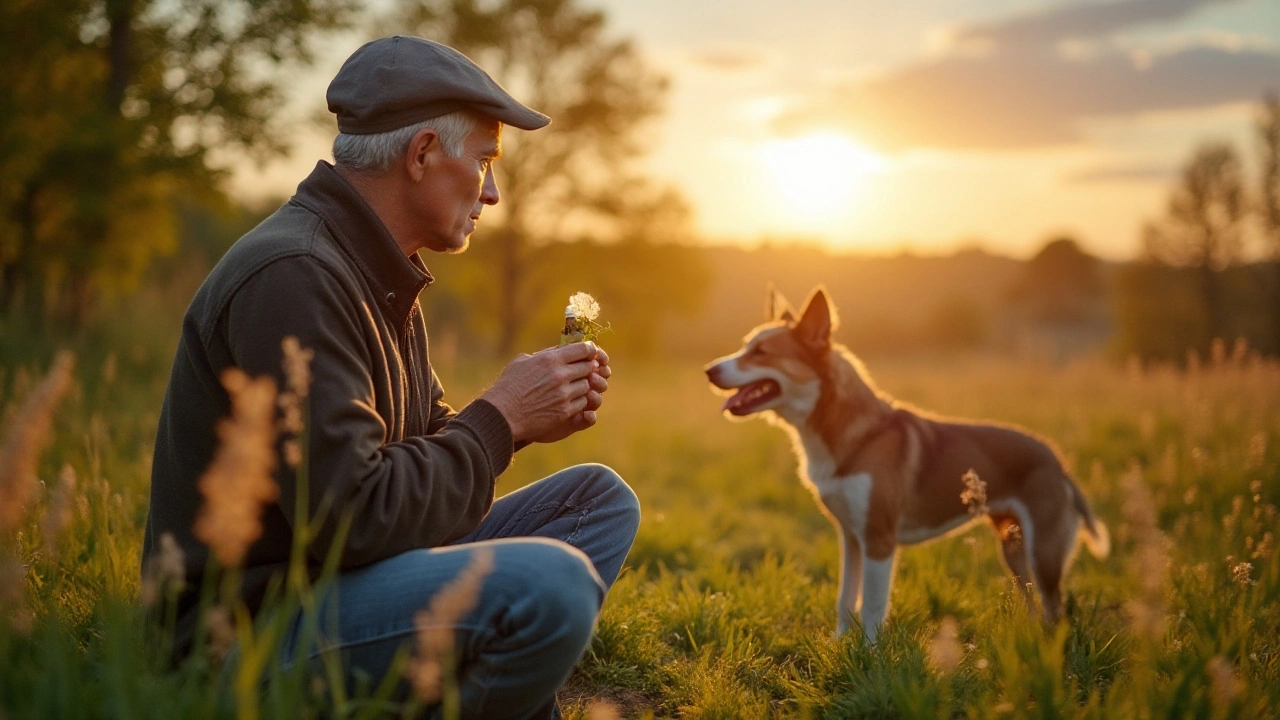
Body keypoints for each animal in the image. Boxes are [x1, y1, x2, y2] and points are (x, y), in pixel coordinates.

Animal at [706, 285, 1105, 638]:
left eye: (761, 352)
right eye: (746, 346)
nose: (709, 370)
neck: (853, 435)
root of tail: (1060, 463)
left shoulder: (879, 540)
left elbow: (871, 606)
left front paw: (868, 654)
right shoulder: (851, 537)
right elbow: (845, 600)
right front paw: (839, 644)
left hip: (1043, 554)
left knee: (1056, 610)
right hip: (1014, 550)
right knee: (1034, 603)